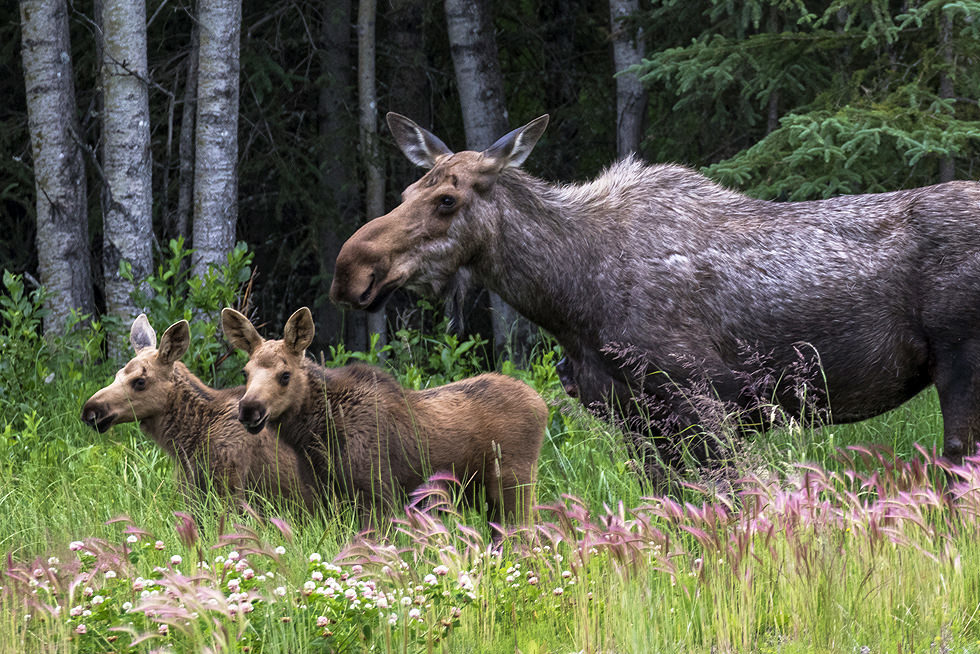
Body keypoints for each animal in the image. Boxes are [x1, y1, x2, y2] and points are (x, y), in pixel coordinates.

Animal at [220, 306, 548, 526]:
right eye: (245, 372)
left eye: (285, 375)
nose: (249, 409)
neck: (314, 438)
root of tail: (543, 405)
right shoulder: (324, 496)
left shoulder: (377, 492)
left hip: (514, 484)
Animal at [329, 111, 980, 472]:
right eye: (409, 189)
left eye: (447, 199)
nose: (350, 271)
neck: (567, 297)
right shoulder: (633, 417)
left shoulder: (704, 399)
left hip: (962, 366)